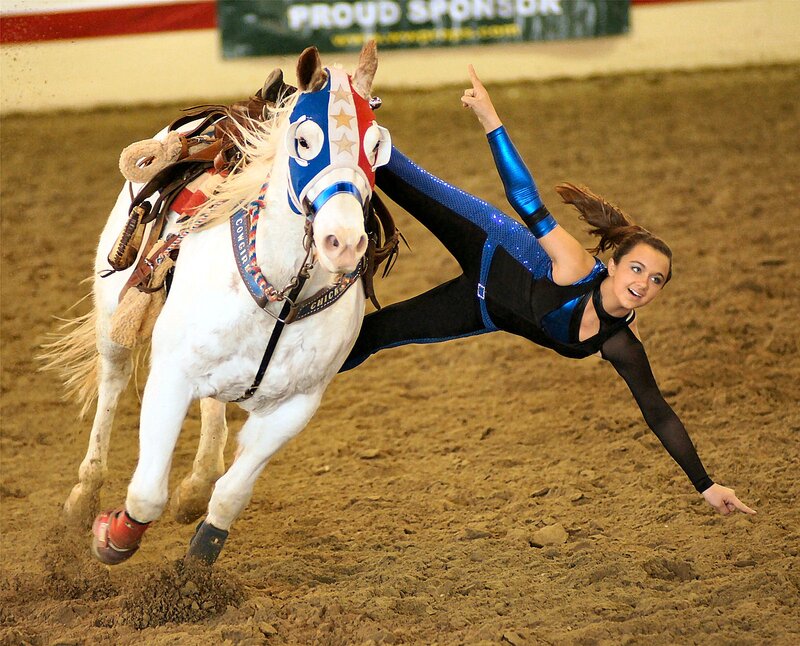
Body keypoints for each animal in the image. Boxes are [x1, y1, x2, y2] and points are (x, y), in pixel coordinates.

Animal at [42, 42, 392, 565]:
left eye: (375, 148)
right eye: (303, 142)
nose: (344, 241)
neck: (281, 296)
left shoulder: (297, 406)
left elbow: (231, 494)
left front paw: (196, 563)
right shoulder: (170, 376)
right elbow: (146, 493)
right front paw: (113, 537)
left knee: (212, 418)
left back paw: (194, 487)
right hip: (114, 322)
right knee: (112, 386)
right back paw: (83, 499)